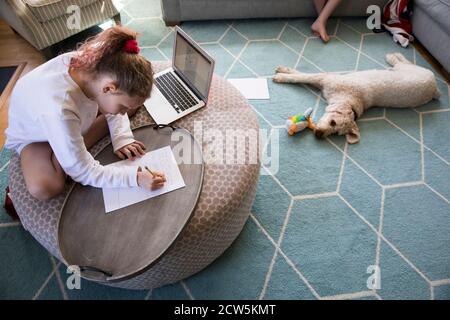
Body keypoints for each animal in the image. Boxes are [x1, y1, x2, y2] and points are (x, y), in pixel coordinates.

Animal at [272, 53, 442, 143]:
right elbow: (300, 76)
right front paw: (283, 74)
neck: (350, 100)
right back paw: (393, 56)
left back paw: (393, 56)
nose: (319, 135)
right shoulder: (325, 78)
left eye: (336, 133)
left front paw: (282, 74)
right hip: (409, 70)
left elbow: (301, 76)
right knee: (403, 62)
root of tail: (434, 87)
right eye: (332, 122)